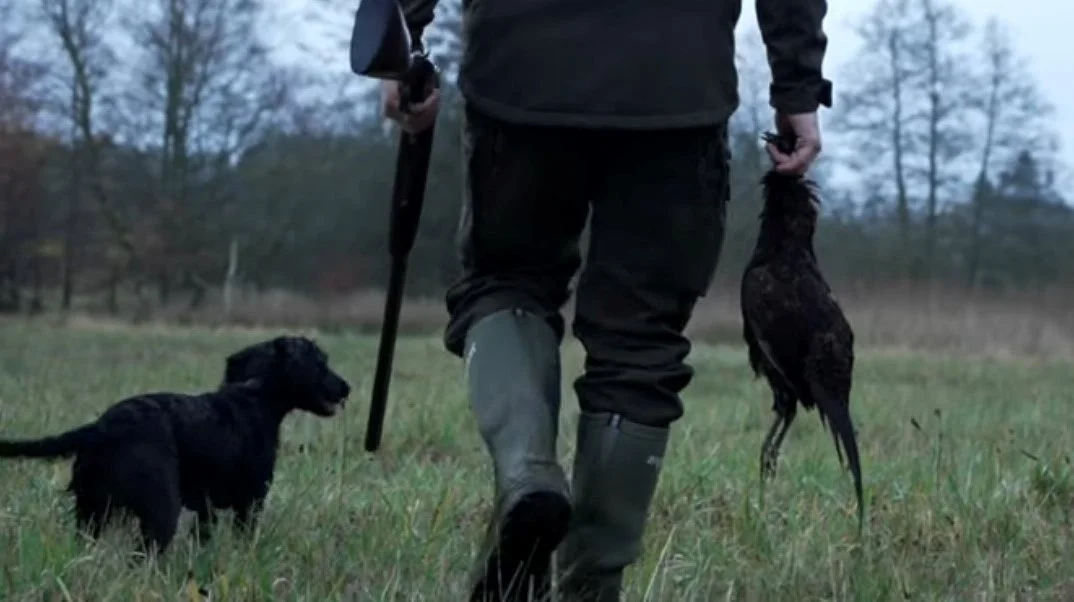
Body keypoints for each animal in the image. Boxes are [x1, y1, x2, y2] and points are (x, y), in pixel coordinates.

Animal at [0, 332, 347, 553]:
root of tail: (100, 428)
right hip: (159, 511)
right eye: (321, 363)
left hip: (91, 512)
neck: (255, 394)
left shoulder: (207, 510)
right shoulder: (250, 503)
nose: (348, 388)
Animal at [738, 132, 863, 530]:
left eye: (790, 143)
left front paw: (766, 459)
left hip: (787, 371)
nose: (772, 134)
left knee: (789, 408)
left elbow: (785, 413)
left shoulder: (767, 353)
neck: (783, 244)